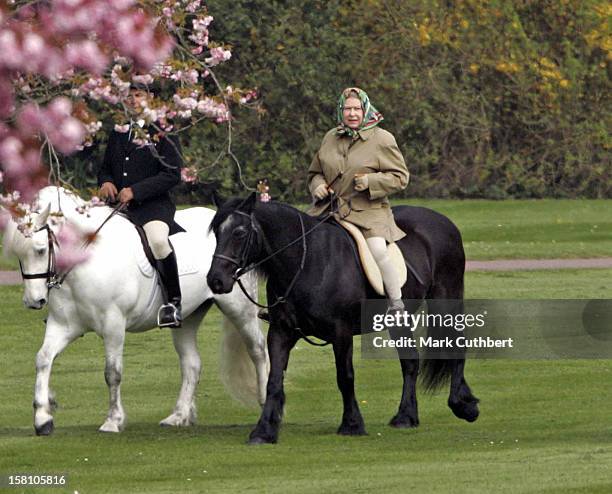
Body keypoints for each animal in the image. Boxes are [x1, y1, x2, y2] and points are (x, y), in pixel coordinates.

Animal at [2, 186, 268, 436]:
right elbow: (43, 360)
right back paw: (179, 416)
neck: (84, 263)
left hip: (239, 309)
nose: (34, 301)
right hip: (187, 318)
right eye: (19, 254)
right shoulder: (62, 326)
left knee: (257, 349)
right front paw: (42, 419)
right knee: (192, 364)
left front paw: (113, 420)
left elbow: (112, 373)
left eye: (40, 249)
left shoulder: (113, 326)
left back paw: (265, 401)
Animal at [208, 195, 480, 446]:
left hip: (445, 302)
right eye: (216, 234)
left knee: (455, 347)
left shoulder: (341, 333)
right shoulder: (281, 332)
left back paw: (462, 405)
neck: (308, 261)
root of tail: (444, 221)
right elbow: (273, 380)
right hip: (398, 322)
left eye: (239, 232)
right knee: (410, 363)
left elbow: (345, 377)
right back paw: (406, 417)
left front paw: (352, 424)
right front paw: (264, 431)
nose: (216, 280)